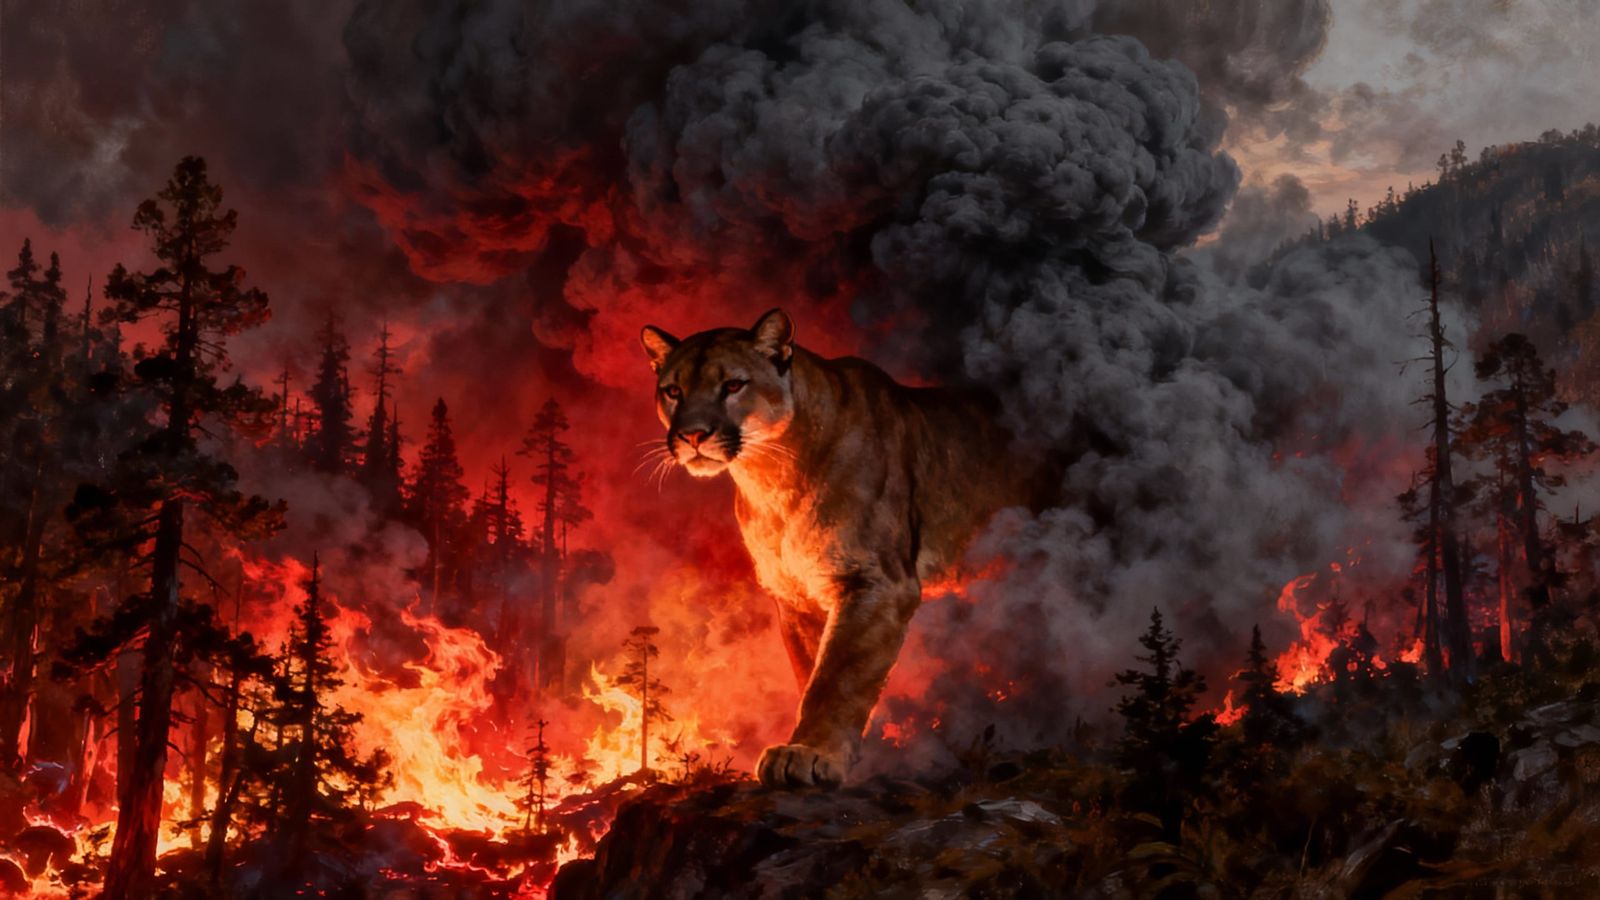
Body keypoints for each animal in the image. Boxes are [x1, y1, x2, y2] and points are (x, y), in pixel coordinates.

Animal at [640, 309, 1041, 787]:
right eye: (673, 391)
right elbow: (811, 673)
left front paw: (809, 754)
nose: (693, 435)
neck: (769, 476)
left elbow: (837, 676)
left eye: (733, 385)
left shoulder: (876, 583)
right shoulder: (795, 597)